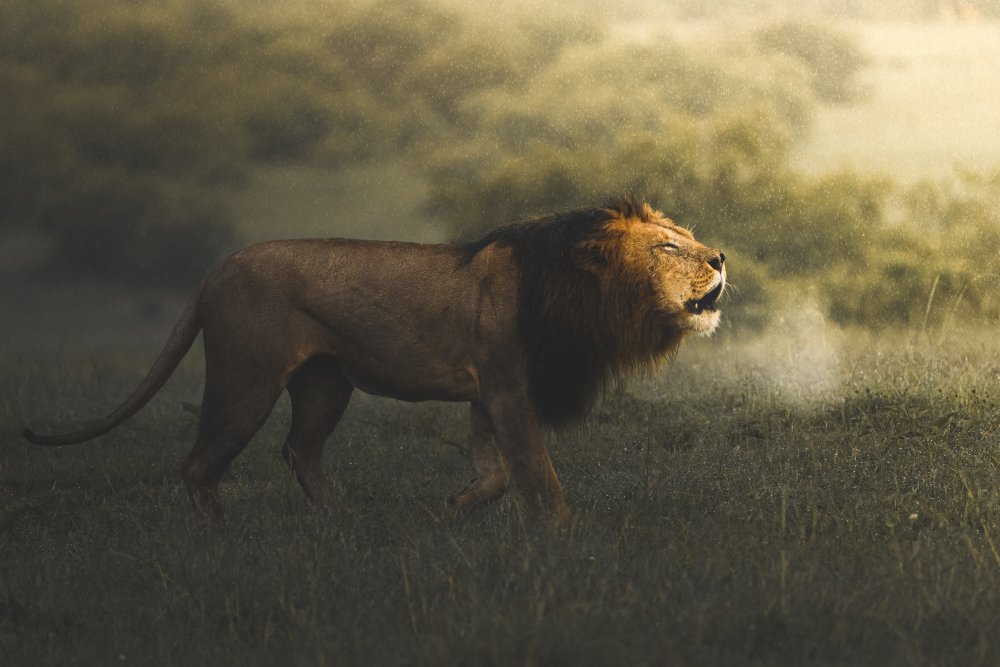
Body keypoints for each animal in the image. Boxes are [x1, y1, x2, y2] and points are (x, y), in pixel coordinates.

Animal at [23, 197, 726, 521]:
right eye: (668, 247)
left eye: (688, 237)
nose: (721, 257)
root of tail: (214, 272)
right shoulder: (507, 386)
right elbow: (537, 474)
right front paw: (563, 537)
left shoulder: (486, 394)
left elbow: (498, 470)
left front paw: (457, 506)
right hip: (246, 378)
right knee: (199, 463)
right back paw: (217, 535)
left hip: (325, 385)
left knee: (298, 451)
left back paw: (343, 521)